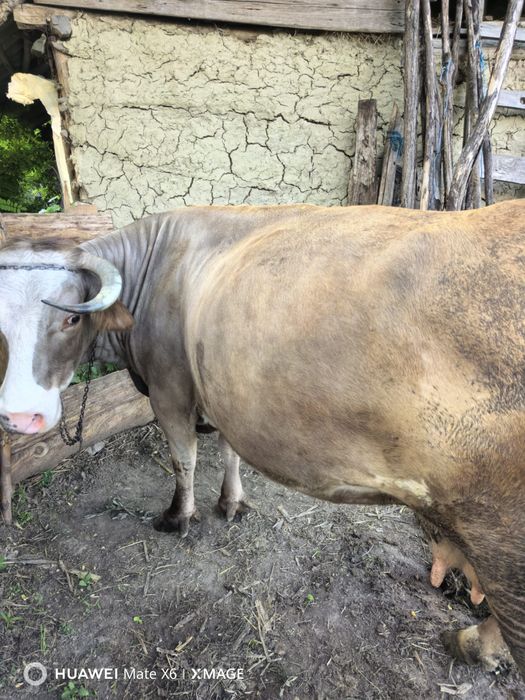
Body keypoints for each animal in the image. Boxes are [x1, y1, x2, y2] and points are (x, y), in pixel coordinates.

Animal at [0, 201, 524, 677]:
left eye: (70, 319)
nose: (20, 417)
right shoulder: (225, 392)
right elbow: (229, 454)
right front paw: (231, 503)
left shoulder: (169, 389)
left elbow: (183, 458)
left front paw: (178, 516)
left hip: (500, 539)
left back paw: (473, 644)